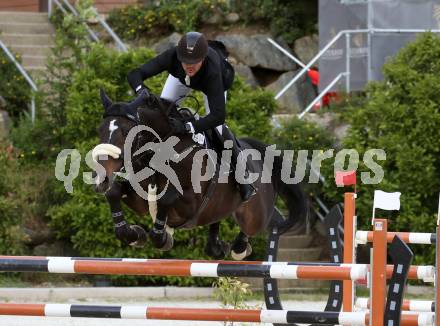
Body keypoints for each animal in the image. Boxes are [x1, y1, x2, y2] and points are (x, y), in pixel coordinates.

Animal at [91, 88, 308, 260]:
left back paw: (239, 247)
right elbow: (115, 192)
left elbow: (167, 197)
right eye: (99, 130)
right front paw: (135, 235)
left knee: (258, 226)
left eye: (125, 132)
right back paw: (218, 246)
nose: (101, 179)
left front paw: (162, 238)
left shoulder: (190, 204)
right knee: (217, 224)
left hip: (256, 214)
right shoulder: (140, 200)